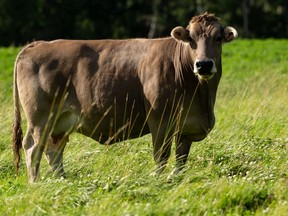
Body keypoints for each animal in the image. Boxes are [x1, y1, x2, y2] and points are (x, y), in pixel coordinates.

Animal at [12, 12, 237, 182]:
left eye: (218, 38)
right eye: (191, 39)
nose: (204, 64)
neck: (200, 97)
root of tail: (38, 44)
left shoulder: (186, 127)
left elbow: (181, 160)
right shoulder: (160, 120)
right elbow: (161, 156)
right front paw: (159, 181)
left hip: (61, 121)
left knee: (54, 150)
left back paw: (62, 180)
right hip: (40, 117)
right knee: (33, 147)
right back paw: (35, 183)